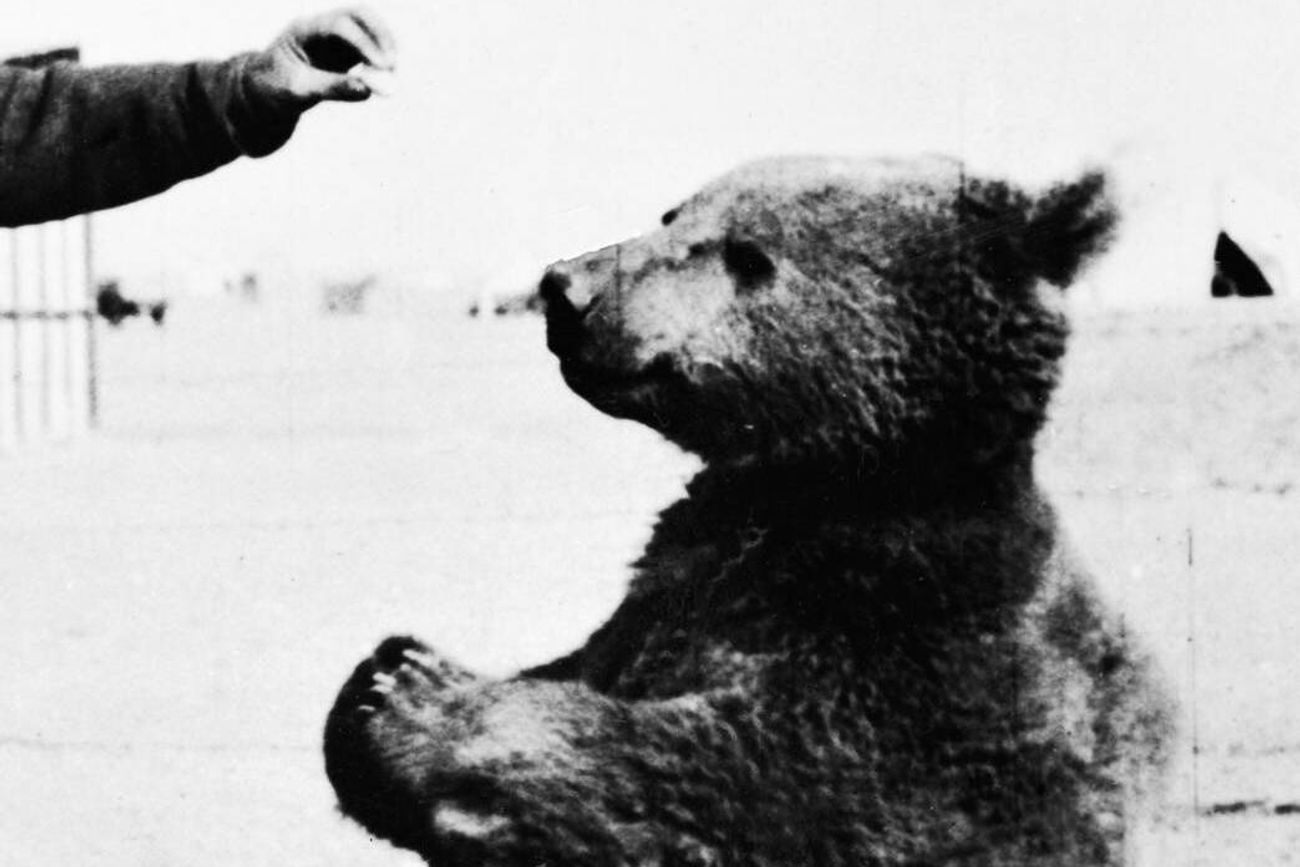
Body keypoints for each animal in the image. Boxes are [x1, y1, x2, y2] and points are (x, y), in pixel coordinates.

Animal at [323, 155, 1174, 866]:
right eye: (674, 212)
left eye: (749, 254)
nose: (567, 288)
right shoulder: (677, 580)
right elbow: (596, 658)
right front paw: (384, 674)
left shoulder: (925, 662)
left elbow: (733, 779)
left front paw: (412, 693)